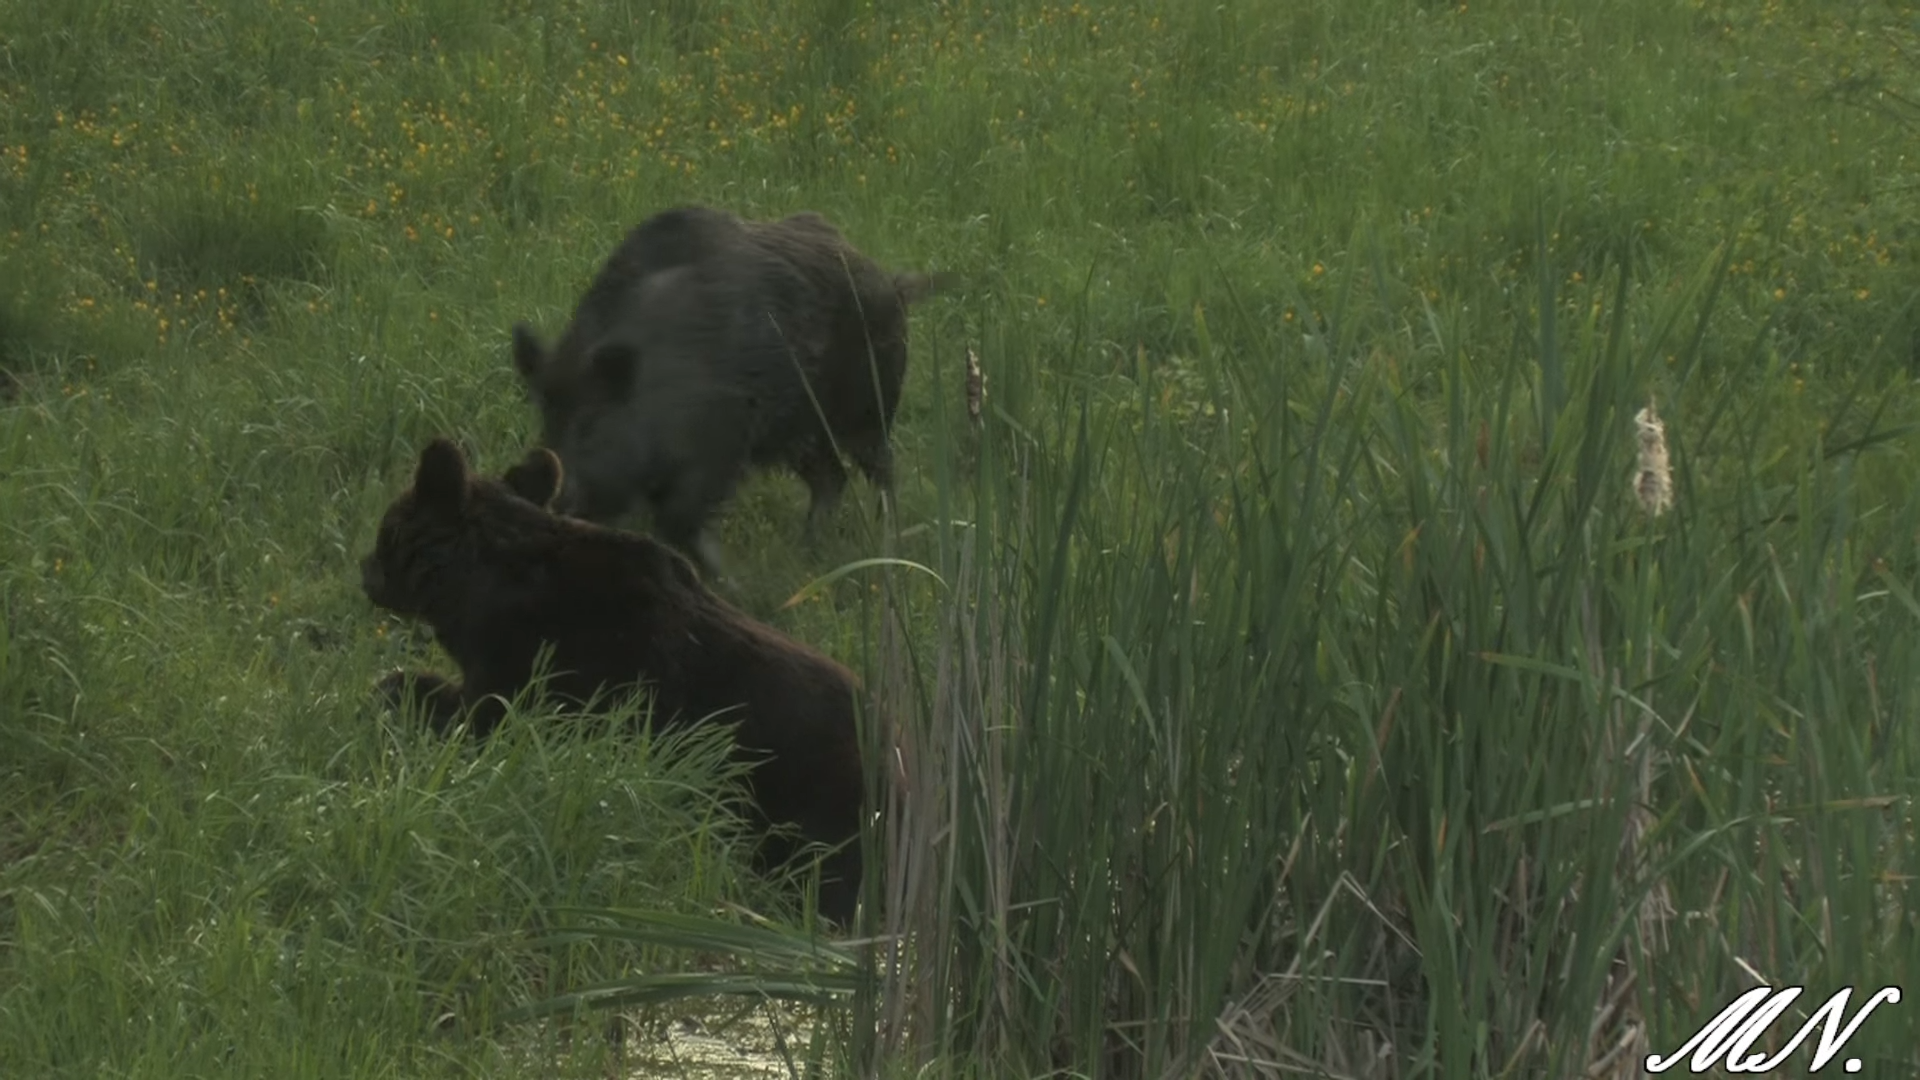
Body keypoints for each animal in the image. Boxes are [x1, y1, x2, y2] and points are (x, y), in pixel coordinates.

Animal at [360, 432, 871, 922]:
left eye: (385, 531)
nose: (364, 569)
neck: (477, 593)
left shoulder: (531, 682)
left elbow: (460, 710)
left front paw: (395, 689)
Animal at [510, 200, 952, 572]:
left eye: (590, 422)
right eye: (546, 415)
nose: (546, 493)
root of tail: (891, 281)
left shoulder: (723, 439)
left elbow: (678, 519)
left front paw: (724, 581)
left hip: (868, 407)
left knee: (882, 469)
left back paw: (885, 542)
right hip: (801, 433)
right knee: (832, 478)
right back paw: (806, 553)